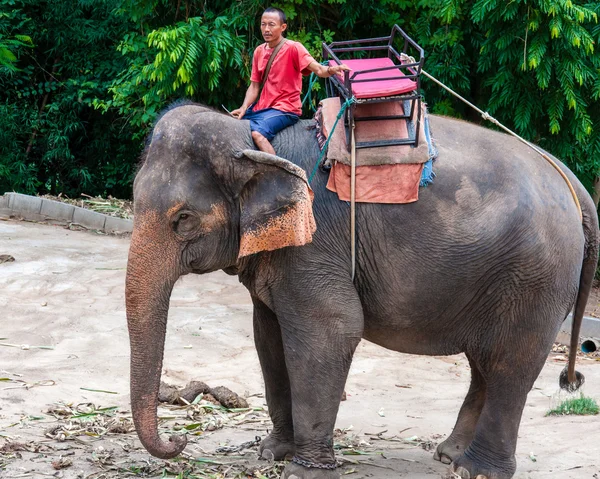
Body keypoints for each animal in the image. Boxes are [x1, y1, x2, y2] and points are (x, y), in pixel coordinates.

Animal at [124, 103, 596, 479]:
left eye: (183, 219)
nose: (180, 442)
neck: (257, 142)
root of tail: (571, 181)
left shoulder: (313, 244)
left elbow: (331, 331)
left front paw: (303, 473)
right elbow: (268, 336)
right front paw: (272, 453)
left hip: (536, 278)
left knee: (510, 364)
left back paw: (477, 472)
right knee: (486, 363)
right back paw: (450, 456)